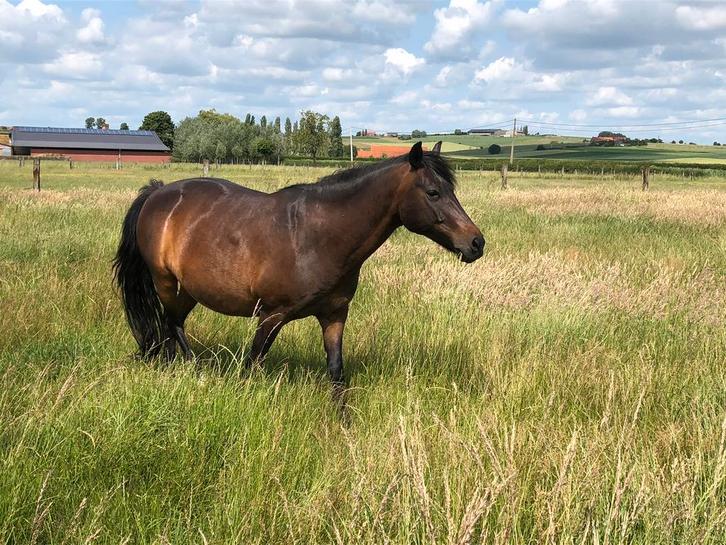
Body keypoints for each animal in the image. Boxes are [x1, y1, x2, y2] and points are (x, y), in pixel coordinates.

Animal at [112, 141, 484, 392]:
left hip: (190, 289)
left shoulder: (334, 315)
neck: (316, 236)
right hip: (165, 282)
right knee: (170, 323)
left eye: (450, 189)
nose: (476, 243)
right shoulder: (271, 315)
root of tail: (159, 193)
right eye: (433, 192)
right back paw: (193, 370)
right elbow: (253, 364)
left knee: (171, 324)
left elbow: (336, 373)